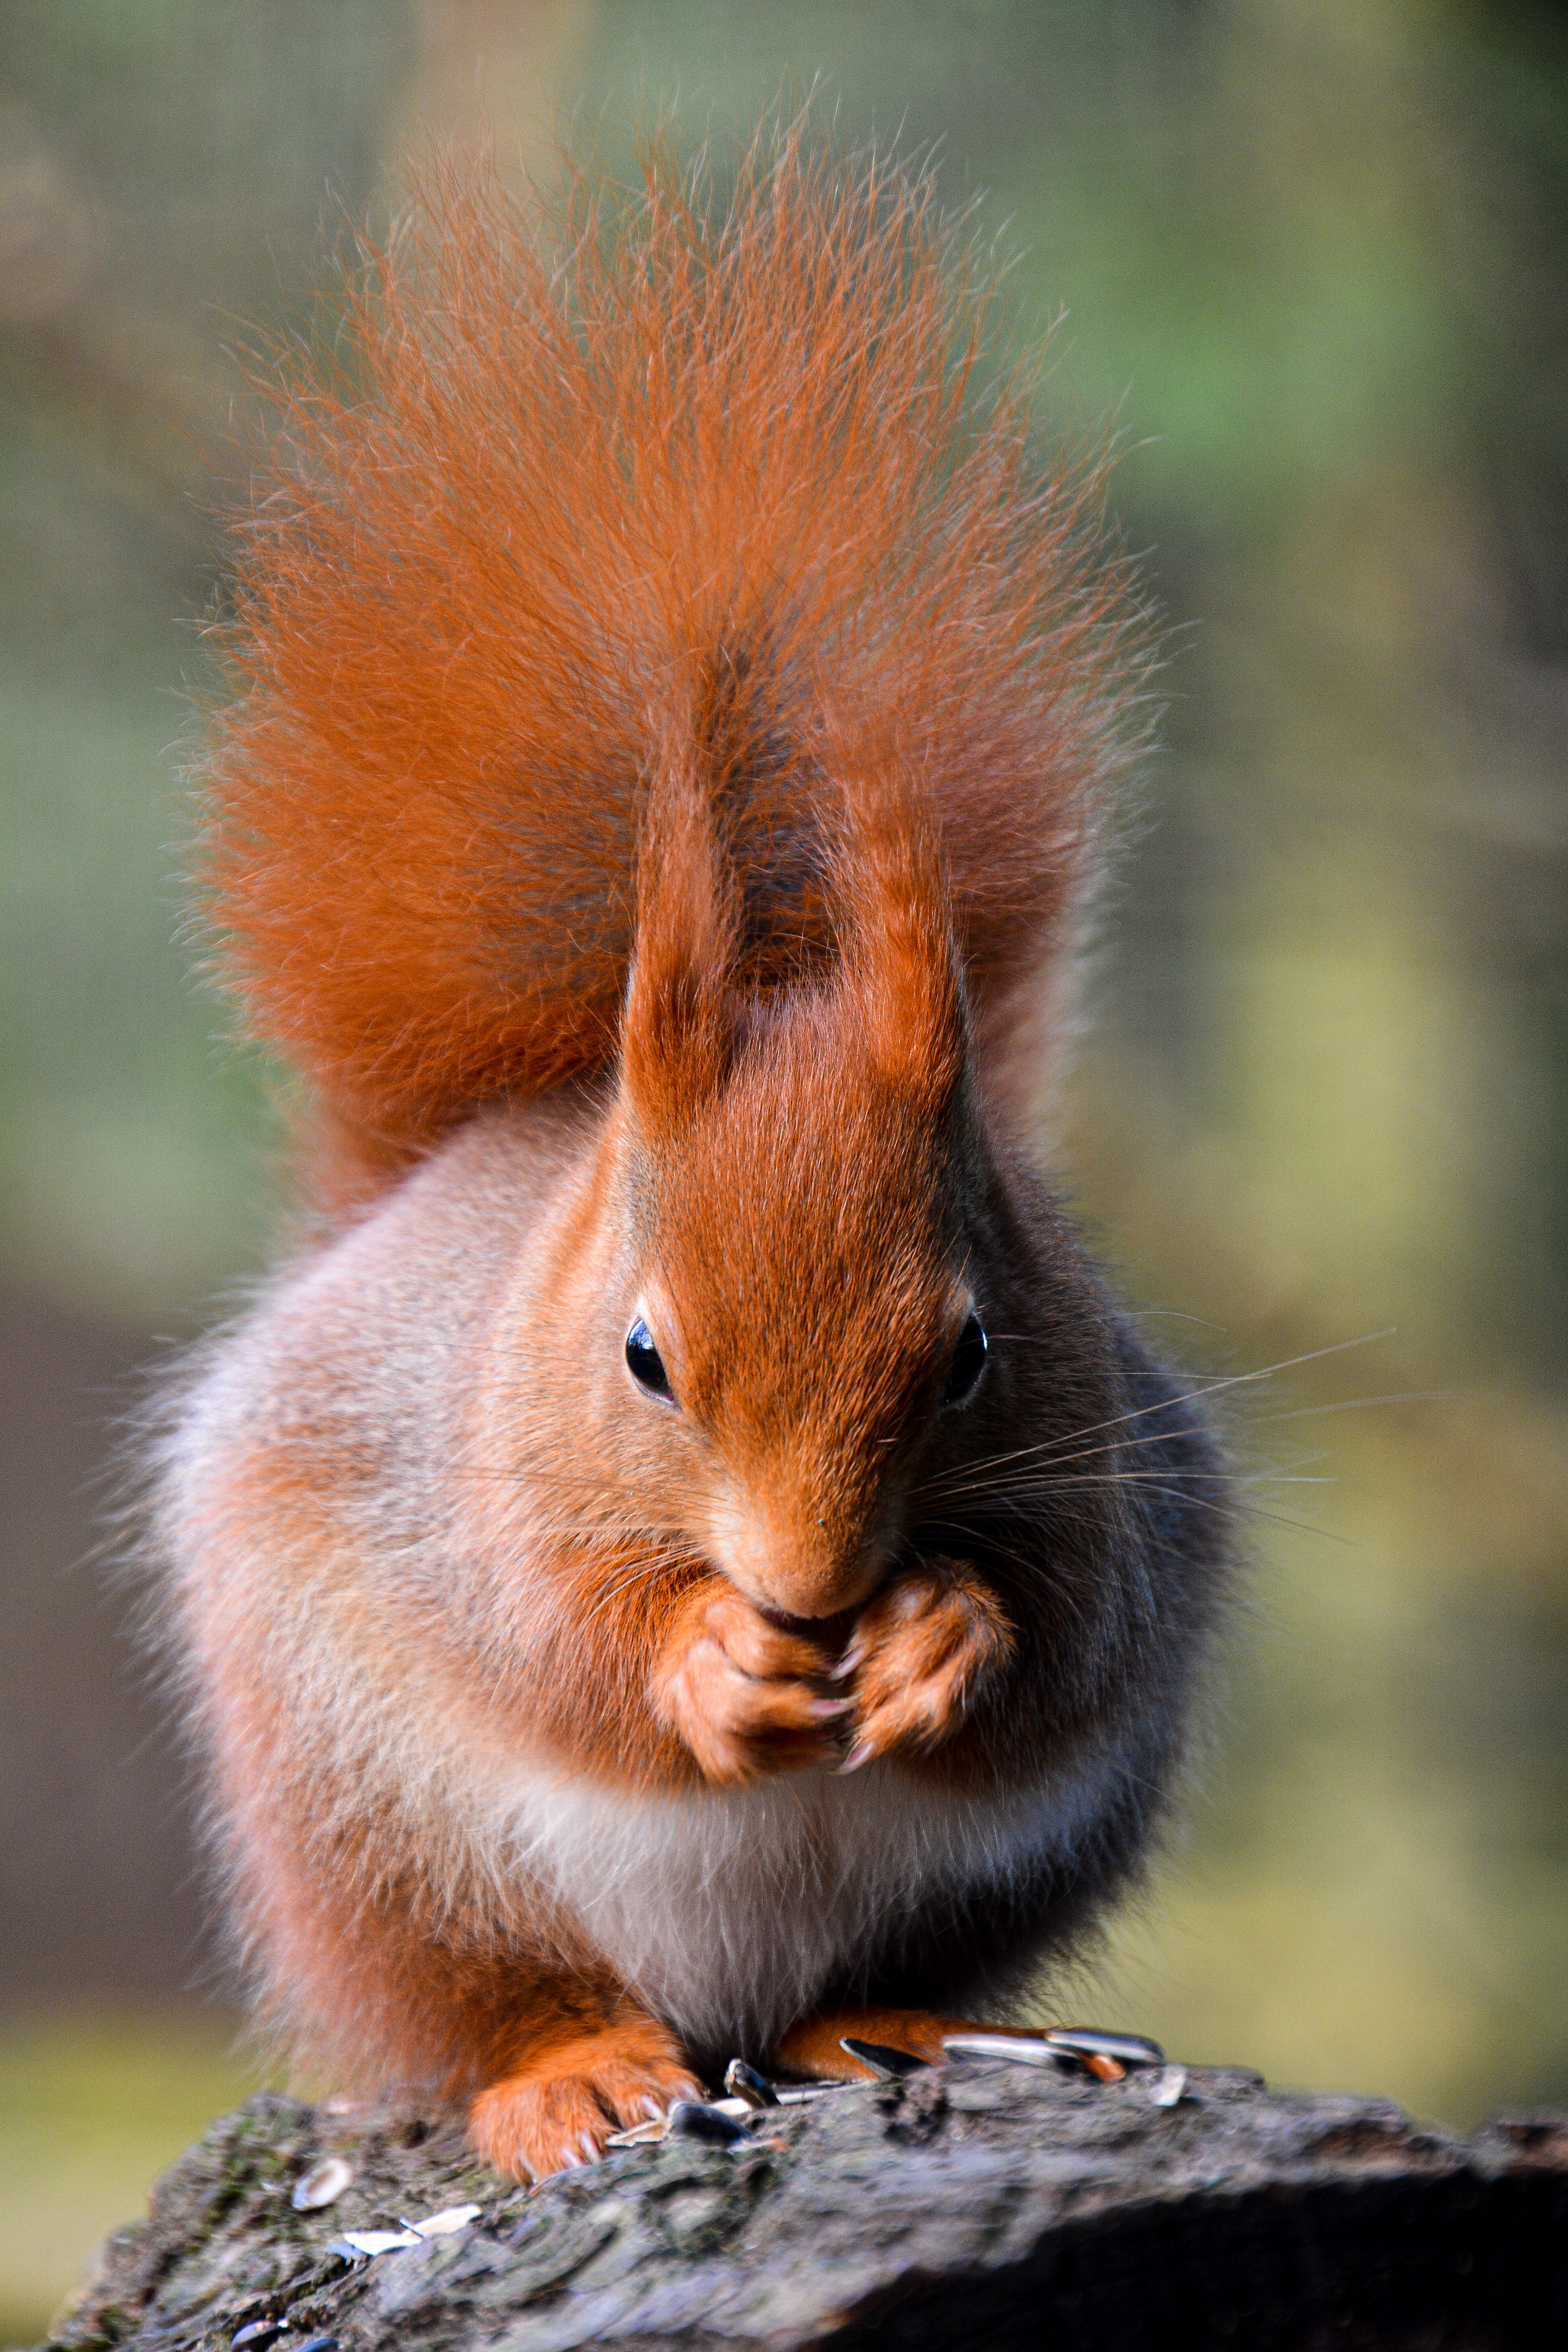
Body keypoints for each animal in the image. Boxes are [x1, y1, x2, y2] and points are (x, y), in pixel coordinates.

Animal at [154, 123, 1231, 2184]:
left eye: (974, 1351)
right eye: (641, 1354)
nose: (810, 1593)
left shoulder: (1119, 1490)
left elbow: (1062, 1624)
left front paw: (935, 1638)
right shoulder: (467, 1486)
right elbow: (561, 1645)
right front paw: (714, 1665)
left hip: (1013, 1863)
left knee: (865, 1974)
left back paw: (885, 2027)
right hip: (370, 1831)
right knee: (473, 2001)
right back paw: (573, 2068)